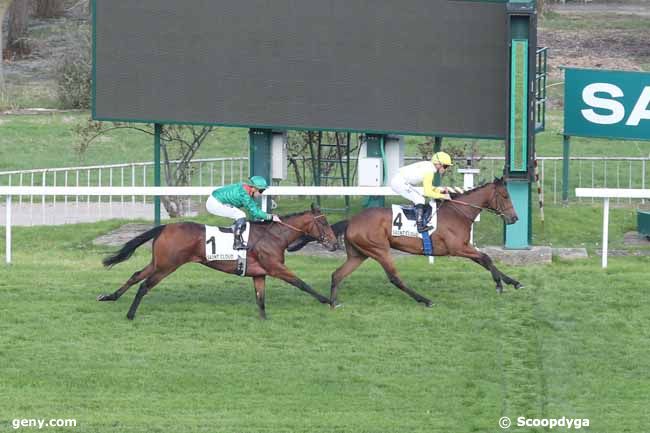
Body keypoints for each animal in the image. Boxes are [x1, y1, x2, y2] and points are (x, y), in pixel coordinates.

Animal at [98, 204, 340, 318]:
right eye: (324, 222)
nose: (335, 244)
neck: (274, 236)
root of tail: (165, 226)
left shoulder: (259, 273)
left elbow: (260, 299)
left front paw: (264, 320)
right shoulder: (276, 268)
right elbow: (301, 283)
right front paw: (330, 301)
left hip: (159, 262)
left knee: (135, 276)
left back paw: (109, 296)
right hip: (167, 266)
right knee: (144, 285)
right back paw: (130, 314)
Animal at [288, 177, 520, 306]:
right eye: (505, 196)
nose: (515, 218)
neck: (458, 212)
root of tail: (351, 221)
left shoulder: (464, 247)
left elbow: (484, 260)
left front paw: (512, 282)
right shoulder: (457, 248)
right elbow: (486, 258)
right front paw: (500, 285)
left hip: (359, 254)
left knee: (337, 274)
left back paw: (333, 302)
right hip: (380, 250)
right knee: (395, 278)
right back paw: (425, 300)